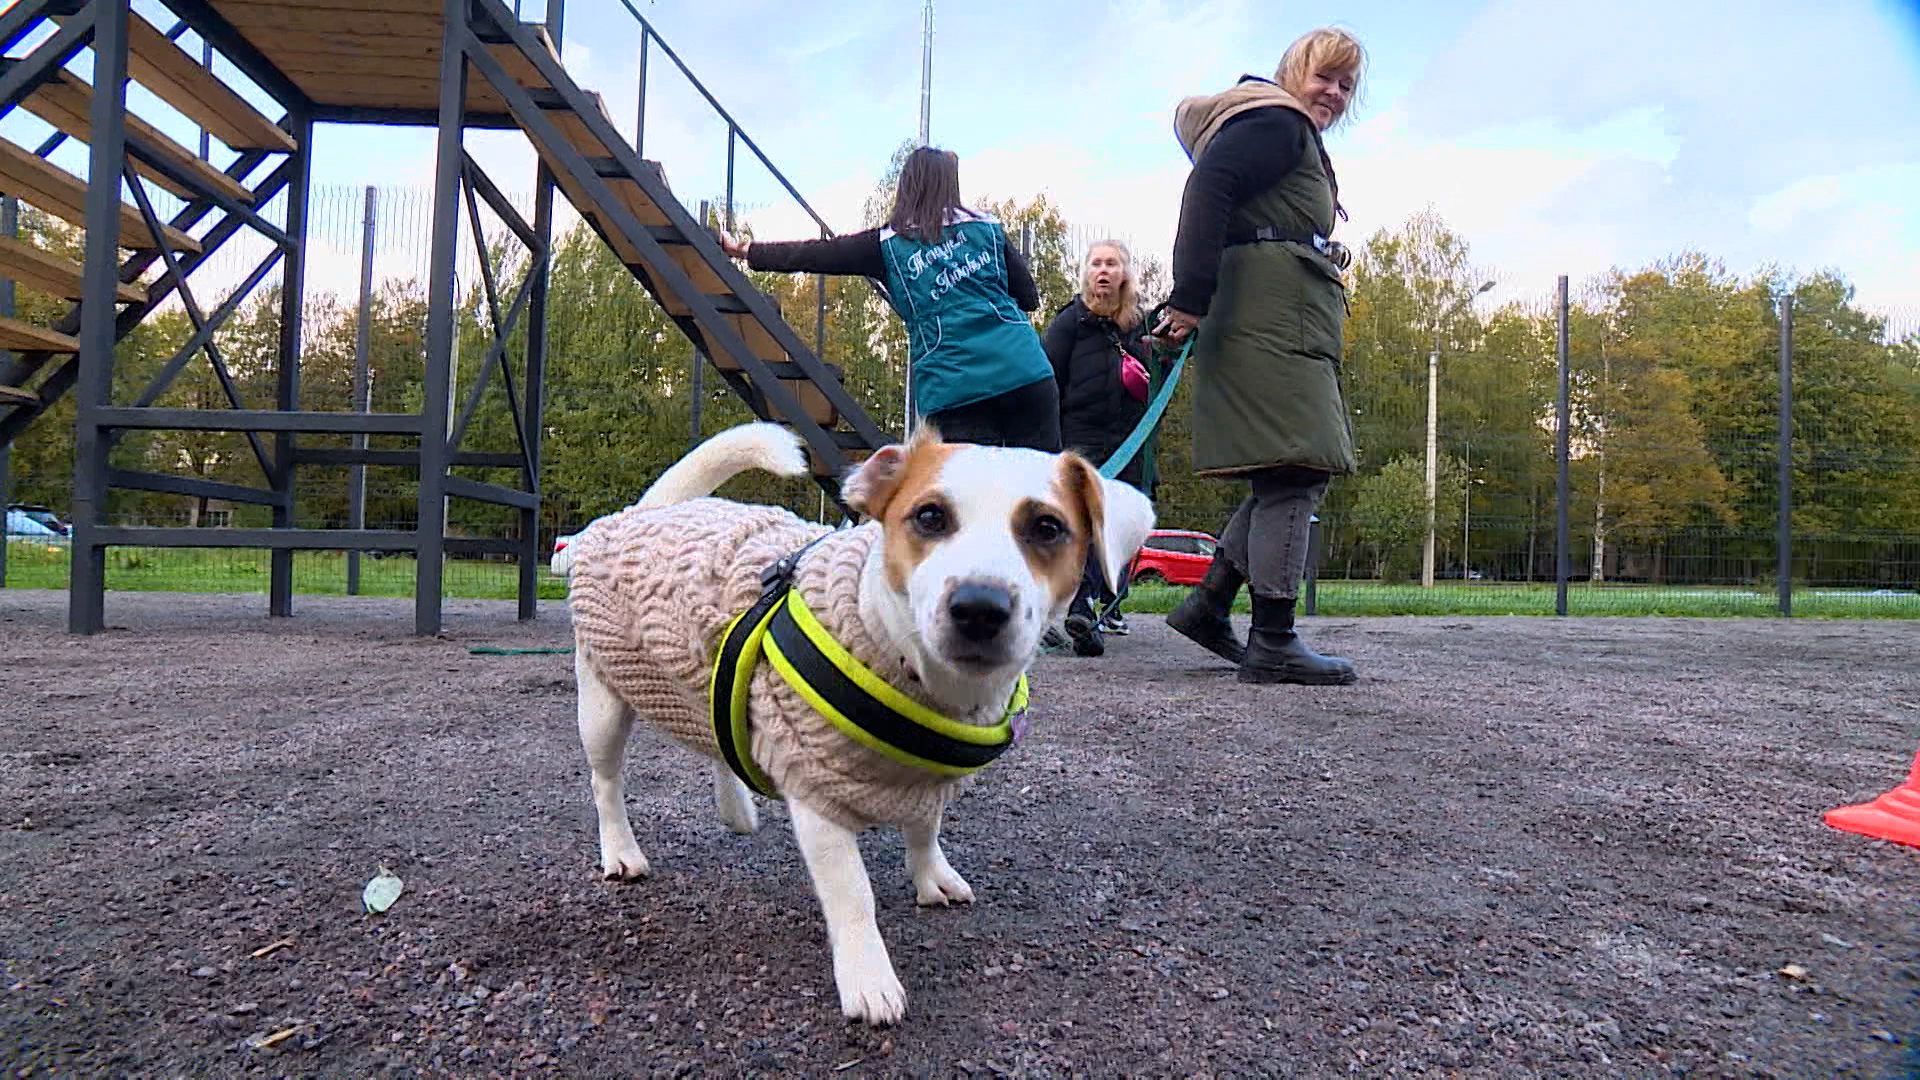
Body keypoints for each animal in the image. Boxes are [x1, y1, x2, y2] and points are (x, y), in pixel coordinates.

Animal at [556, 417, 1152, 1022]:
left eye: (1048, 527)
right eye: (930, 516)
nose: (979, 607)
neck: (898, 655)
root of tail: (639, 514)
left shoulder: (924, 777)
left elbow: (925, 826)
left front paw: (930, 873)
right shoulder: (816, 797)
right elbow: (852, 892)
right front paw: (869, 974)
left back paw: (735, 804)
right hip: (601, 706)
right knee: (606, 782)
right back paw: (621, 851)